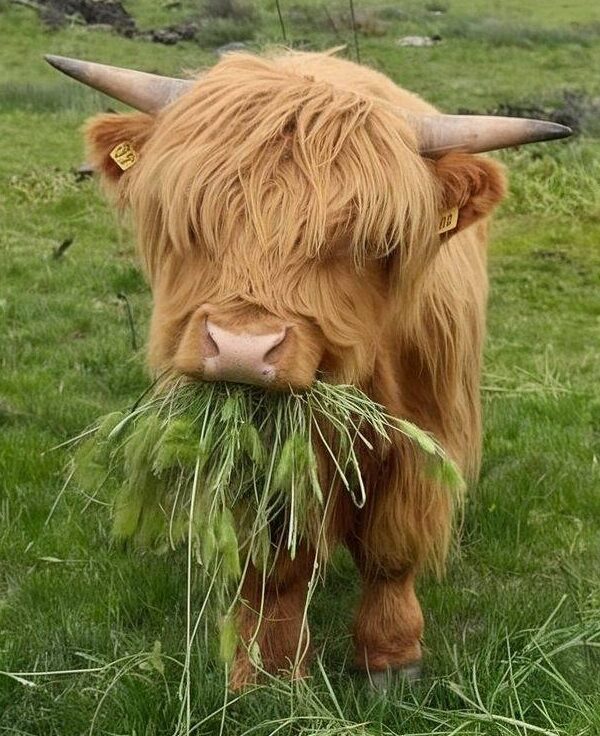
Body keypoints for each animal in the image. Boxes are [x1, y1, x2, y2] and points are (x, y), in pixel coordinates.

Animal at [46, 50, 570, 690]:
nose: (242, 348)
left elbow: (391, 548)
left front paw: (391, 659)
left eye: (363, 240)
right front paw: (263, 668)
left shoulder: (424, 435)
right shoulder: (257, 456)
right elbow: (273, 563)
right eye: (192, 219)